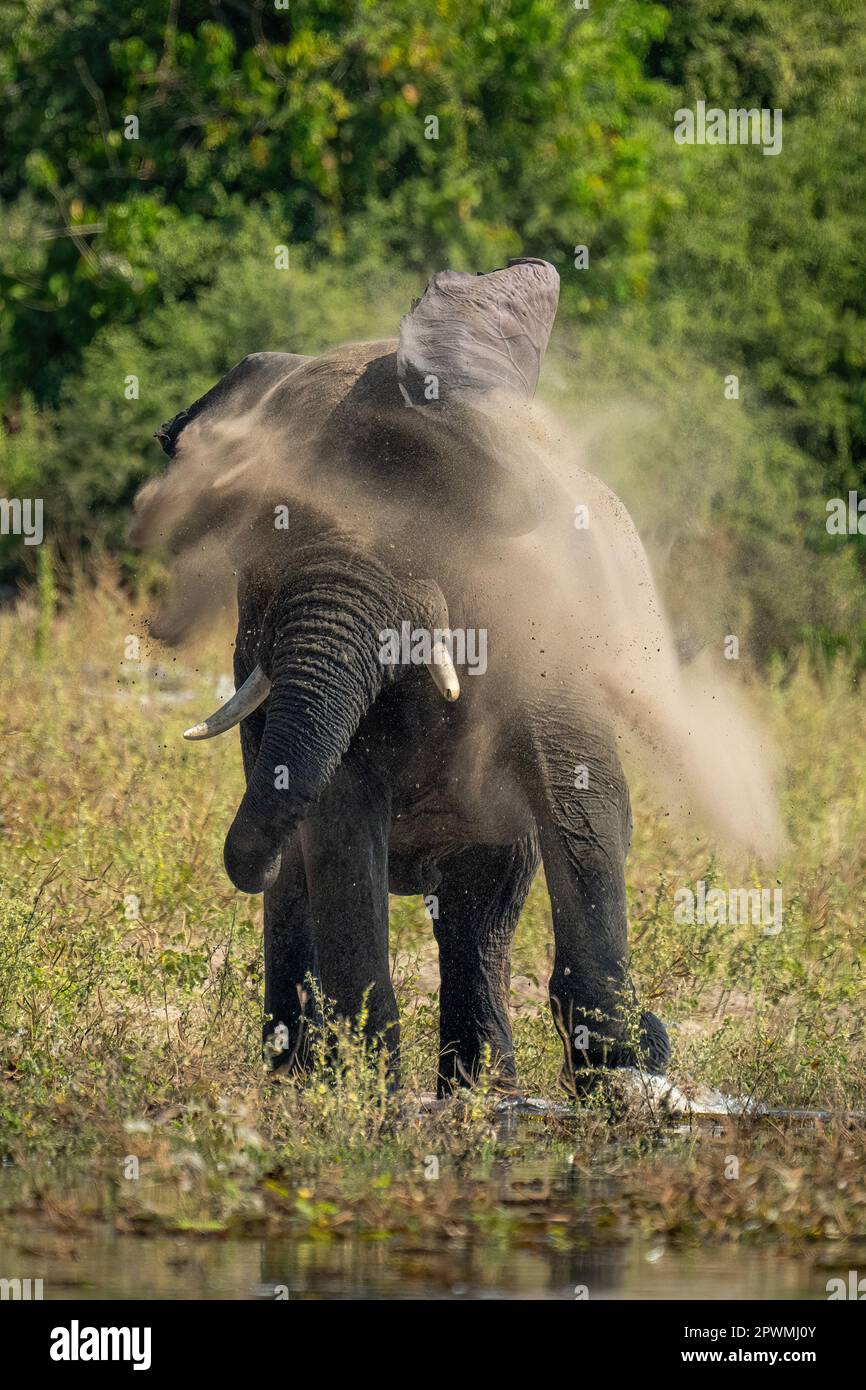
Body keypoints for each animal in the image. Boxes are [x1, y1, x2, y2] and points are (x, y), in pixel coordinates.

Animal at [132, 256, 712, 1096]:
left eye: (420, 519)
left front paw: (625, 1072)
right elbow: (341, 824)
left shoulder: (542, 614)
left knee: (483, 905)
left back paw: (482, 1095)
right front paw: (368, 1098)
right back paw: (313, 1080)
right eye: (254, 541)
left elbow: (583, 798)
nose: (245, 859)